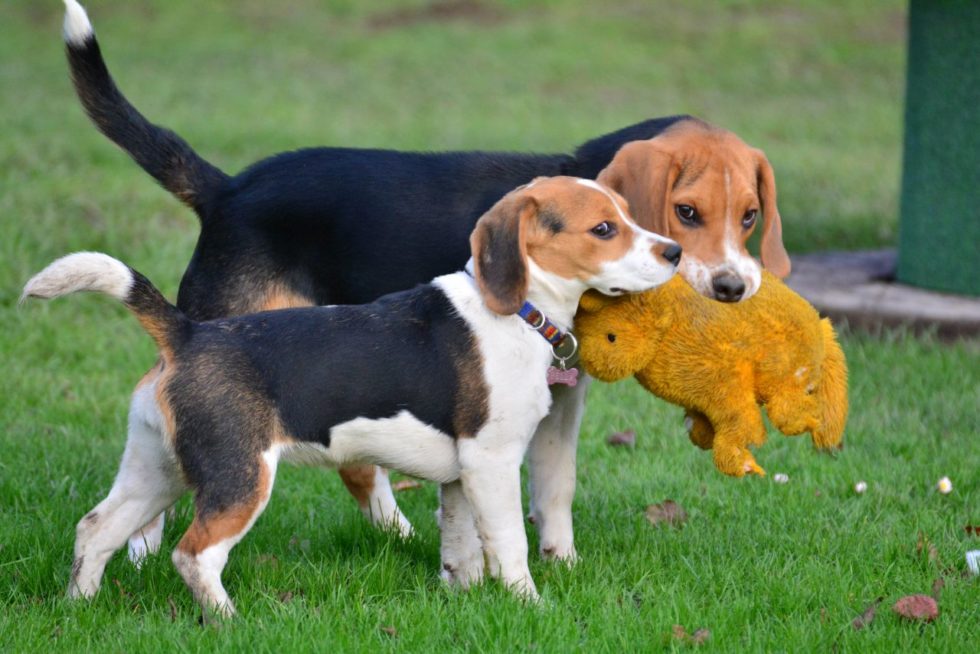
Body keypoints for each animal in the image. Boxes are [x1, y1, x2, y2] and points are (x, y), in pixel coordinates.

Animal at [23, 177, 680, 616]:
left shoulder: (460, 475)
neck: (519, 312)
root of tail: (187, 334)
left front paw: (462, 597)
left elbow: (462, 548)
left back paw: (78, 607)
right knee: (194, 554)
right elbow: (509, 544)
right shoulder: (492, 462)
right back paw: (228, 621)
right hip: (240, 478)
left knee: (96, 530)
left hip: (158, 469)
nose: (673, 251)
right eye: (603, 229)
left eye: (628, 214)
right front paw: (529, 605)